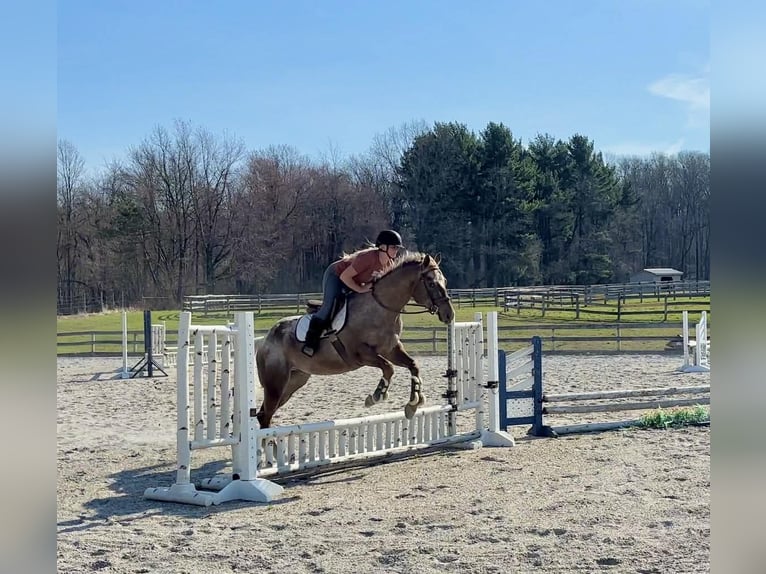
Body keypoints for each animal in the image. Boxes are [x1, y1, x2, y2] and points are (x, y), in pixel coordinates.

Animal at [254, 252, 455, 428]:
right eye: (431, 282)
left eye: (445, 281)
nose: (449, 315)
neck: (381, 309)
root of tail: (266, 340)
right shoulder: (360, 354)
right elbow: (388, 368)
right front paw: (376, 396)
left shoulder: (391, 349)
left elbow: (413, 365)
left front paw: (413, 403)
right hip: (275, 384)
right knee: (266, 414)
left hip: (295, 380)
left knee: (265, 415)